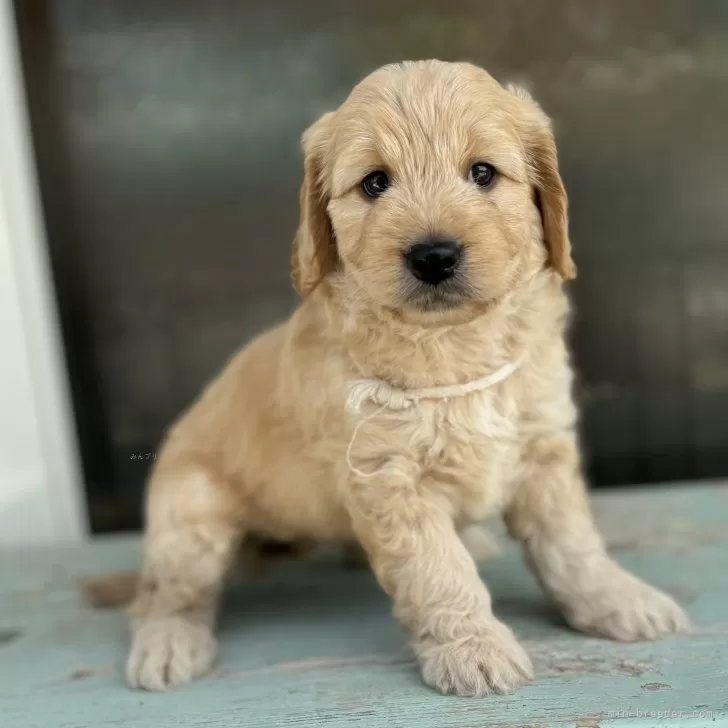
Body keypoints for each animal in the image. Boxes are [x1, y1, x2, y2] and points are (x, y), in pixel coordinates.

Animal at [125, 61, 688, 692]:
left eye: (483, 172)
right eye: (375, 183)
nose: (434, 256)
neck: (454, 345)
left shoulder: (543, 446)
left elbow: (572, 544)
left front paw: (619, 599)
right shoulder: (389, 479)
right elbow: (439, 571)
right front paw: (474, 648)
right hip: (189, 516)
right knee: (164, 594)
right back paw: (167, 644)